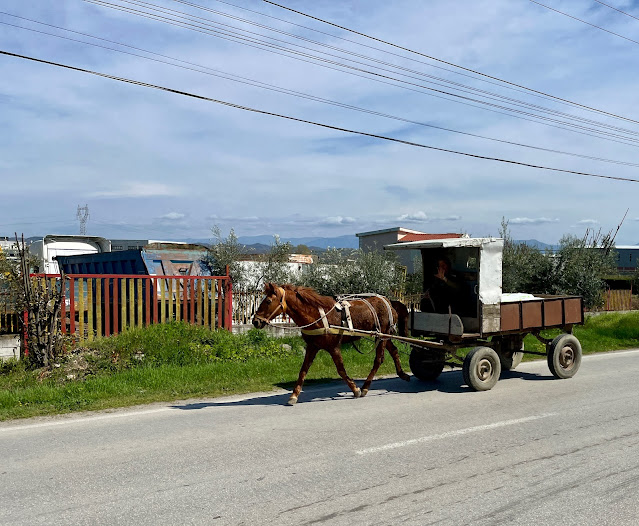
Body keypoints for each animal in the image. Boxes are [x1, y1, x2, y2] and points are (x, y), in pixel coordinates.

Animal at [252, 283, 410, 405]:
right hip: (384, 336)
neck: (317, 316)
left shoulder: (333, 347)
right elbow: (303, 370)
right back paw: (402, 374)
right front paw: (294, 395)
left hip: (382, 336)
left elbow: (341, 369)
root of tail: (388, 301)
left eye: (268, 301)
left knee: (379, 359)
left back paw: (365, 387)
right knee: (394, 351)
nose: (255, 321)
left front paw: (355, 389)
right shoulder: (312, 347)